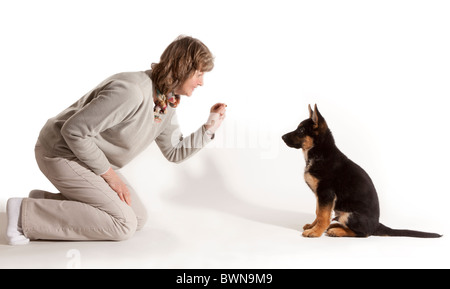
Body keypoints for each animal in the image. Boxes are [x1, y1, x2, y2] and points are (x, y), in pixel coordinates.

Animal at [284, 104, 442, 237]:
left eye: (301, 130)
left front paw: (315, 232)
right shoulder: (320, 196)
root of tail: (377, 225)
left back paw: (337, 230)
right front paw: (313, 226)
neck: (319, 153)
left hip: (350, 215)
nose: (282, 137)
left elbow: (323, 215)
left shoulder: (326, 193)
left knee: (363, 233)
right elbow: (318, 212)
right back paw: (335, 226)